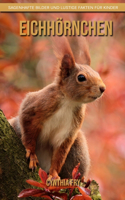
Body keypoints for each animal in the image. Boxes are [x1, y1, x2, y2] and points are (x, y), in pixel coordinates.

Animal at [9, 36, 105, 180]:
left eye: (97, 73)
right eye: (81, 77)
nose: (103, 88)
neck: (69, 102)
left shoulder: (69, 131)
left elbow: (60, 154)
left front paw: (54, 174)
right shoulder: (36, 106)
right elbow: (28, 130)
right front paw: (31, 154)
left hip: (78, 146)